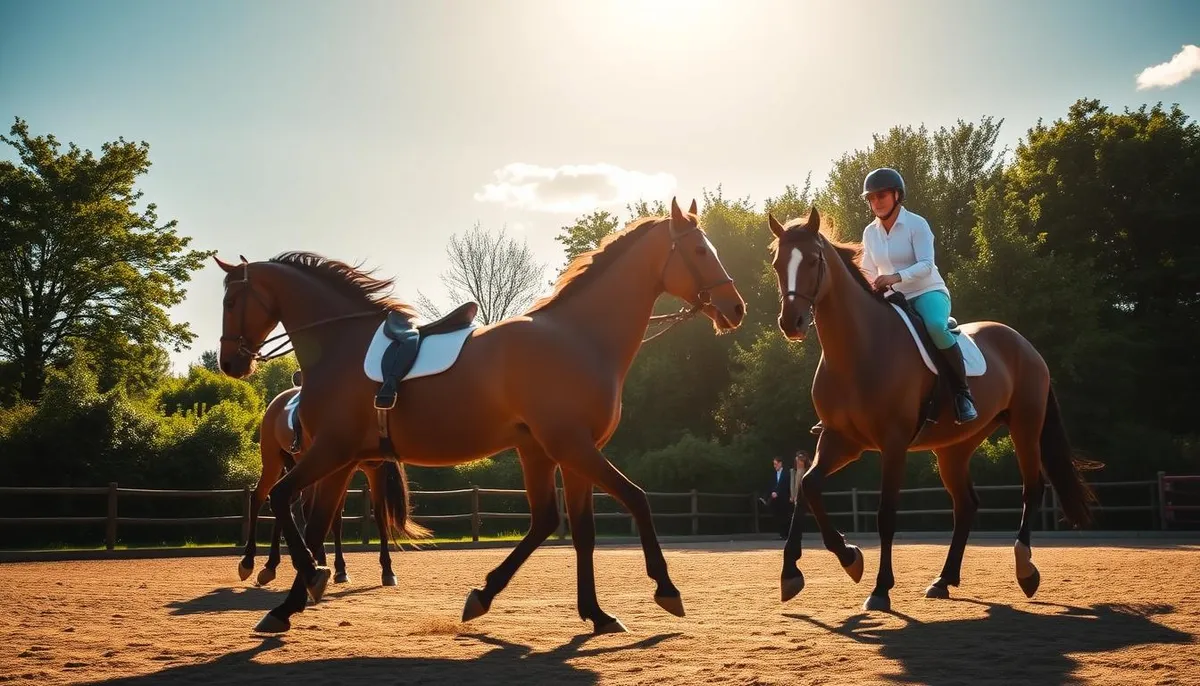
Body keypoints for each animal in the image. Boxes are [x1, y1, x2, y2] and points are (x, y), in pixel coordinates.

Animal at [237, 384, 427, 588]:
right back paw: (248, 561)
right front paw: (328, 565)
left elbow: (375, 516)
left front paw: (383, 570)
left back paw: (272, 565)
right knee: (259, 497)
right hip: (273, 461)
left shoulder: (374, 469)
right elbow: (329, 516)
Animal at [765, 207, 1101, 612]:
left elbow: (885, 514)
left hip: (1025, 426)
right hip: (954, 448)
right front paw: (823, 564)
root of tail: (1024, 344)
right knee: (966, 505)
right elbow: (808, 488)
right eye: (777, 264)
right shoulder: (840, 440)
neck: (859, 349)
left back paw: (1025, 571)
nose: (791, 323)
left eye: (813, 260)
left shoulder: (892, 444)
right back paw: (944, 579)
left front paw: (879, 588)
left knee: (1031, 490)